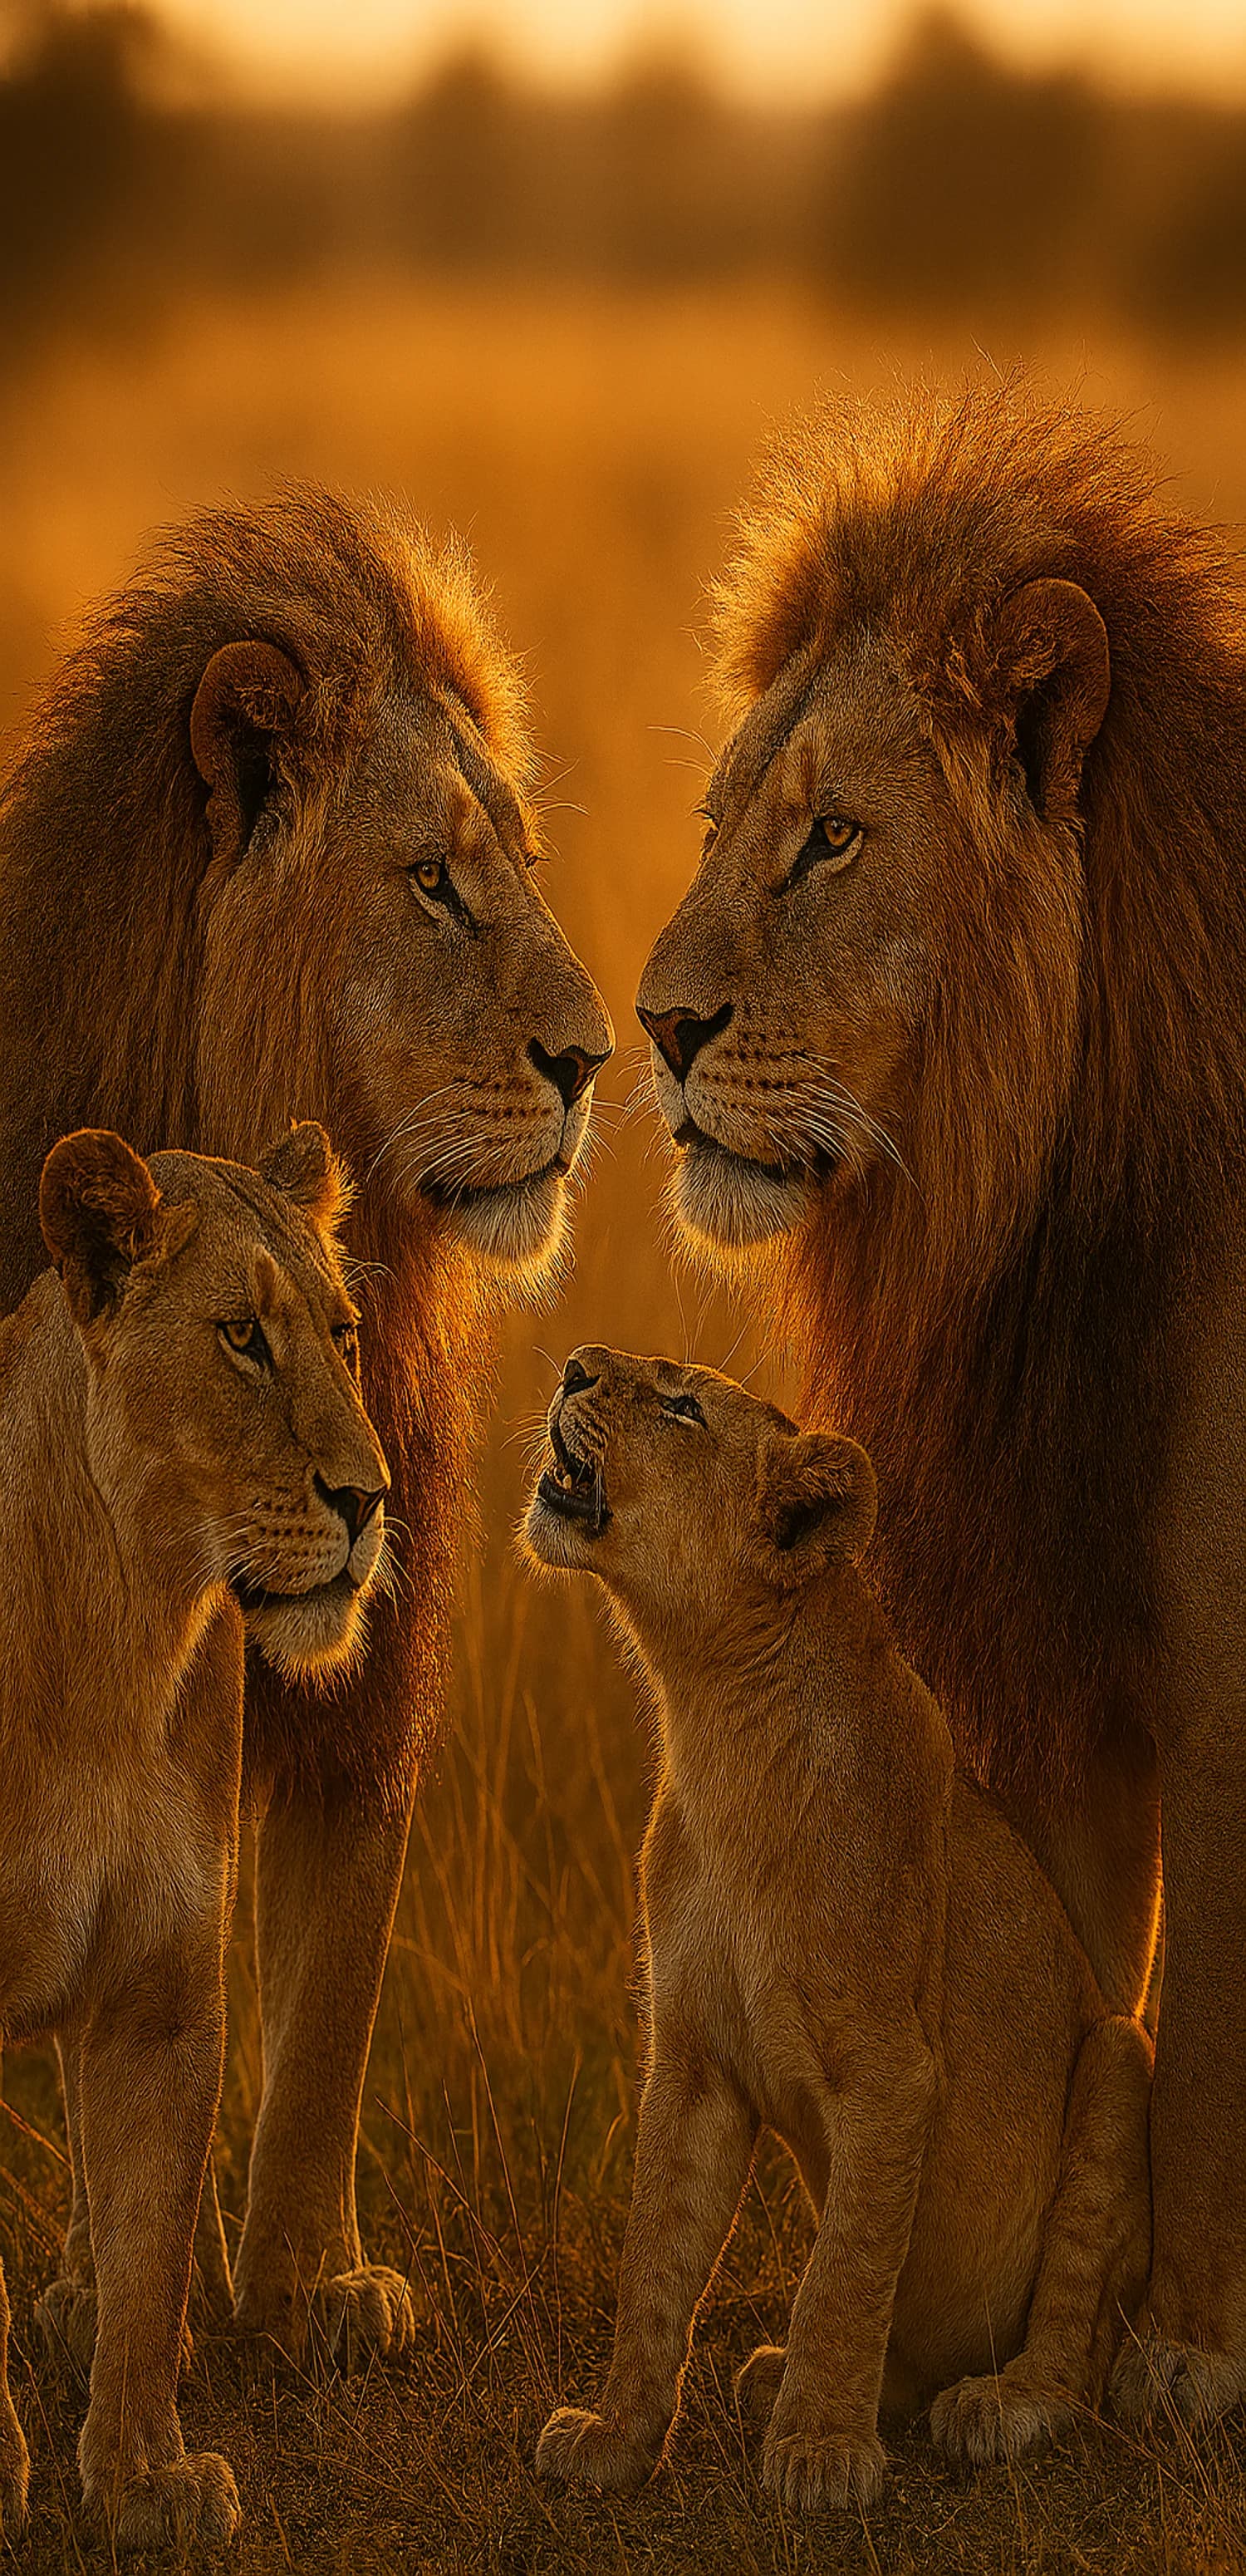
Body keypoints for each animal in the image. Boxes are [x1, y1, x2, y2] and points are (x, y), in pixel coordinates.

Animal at [0, 488, 612, 2358]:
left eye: (522, 870)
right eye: (433, 882)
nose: (600, 1060)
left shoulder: (372, 1634)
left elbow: (334, 1962)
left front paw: (298, 2281)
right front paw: (103, 2291)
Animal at [0, 1119, 388, 2550]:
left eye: (343, 1335)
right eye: (242, 1338)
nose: (372, 1498)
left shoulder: (168, 1991)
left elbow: (153, 2248)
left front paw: (140, 2482)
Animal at [523, 1348, 1152, 2509]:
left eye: (683, 1406)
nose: (577, 1362)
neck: (715, 1718)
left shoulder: (894, 2068)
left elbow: (845, 2268)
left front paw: (818, 2449)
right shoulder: (691, 2062)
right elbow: (656, 2262)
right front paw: (617, 2438)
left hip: (1118, 2058)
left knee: (1078, 2337)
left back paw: (1002, 2401)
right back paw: (774, 2375)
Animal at [635, 382, 1246, 2423]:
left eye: (832, 840)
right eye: (722, 825)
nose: (649, 1032)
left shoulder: (1219, 1683)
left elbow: (1203, 2050)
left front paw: (1186, 2351)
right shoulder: (1050, 1662)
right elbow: (1060, 1991)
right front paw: (995, 2342)